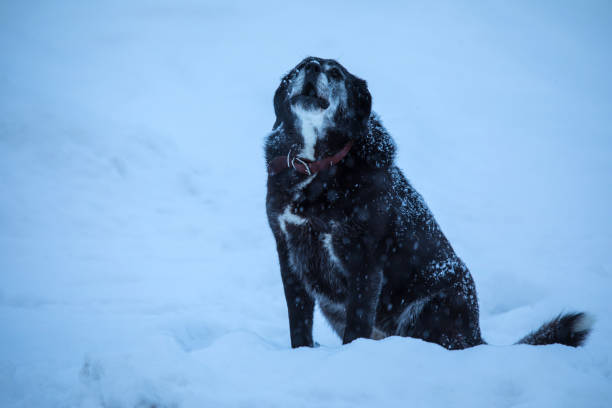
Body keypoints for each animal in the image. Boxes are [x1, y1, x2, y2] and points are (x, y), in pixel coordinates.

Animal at [264, 56, 592, 350]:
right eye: (300, 66)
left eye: (335, 73)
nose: (311, 68)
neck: (316, 165)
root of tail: (477, 336)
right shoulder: (289, 254)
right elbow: (299, 322)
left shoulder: (364, 260)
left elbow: (356, 326)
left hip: (434, 303)